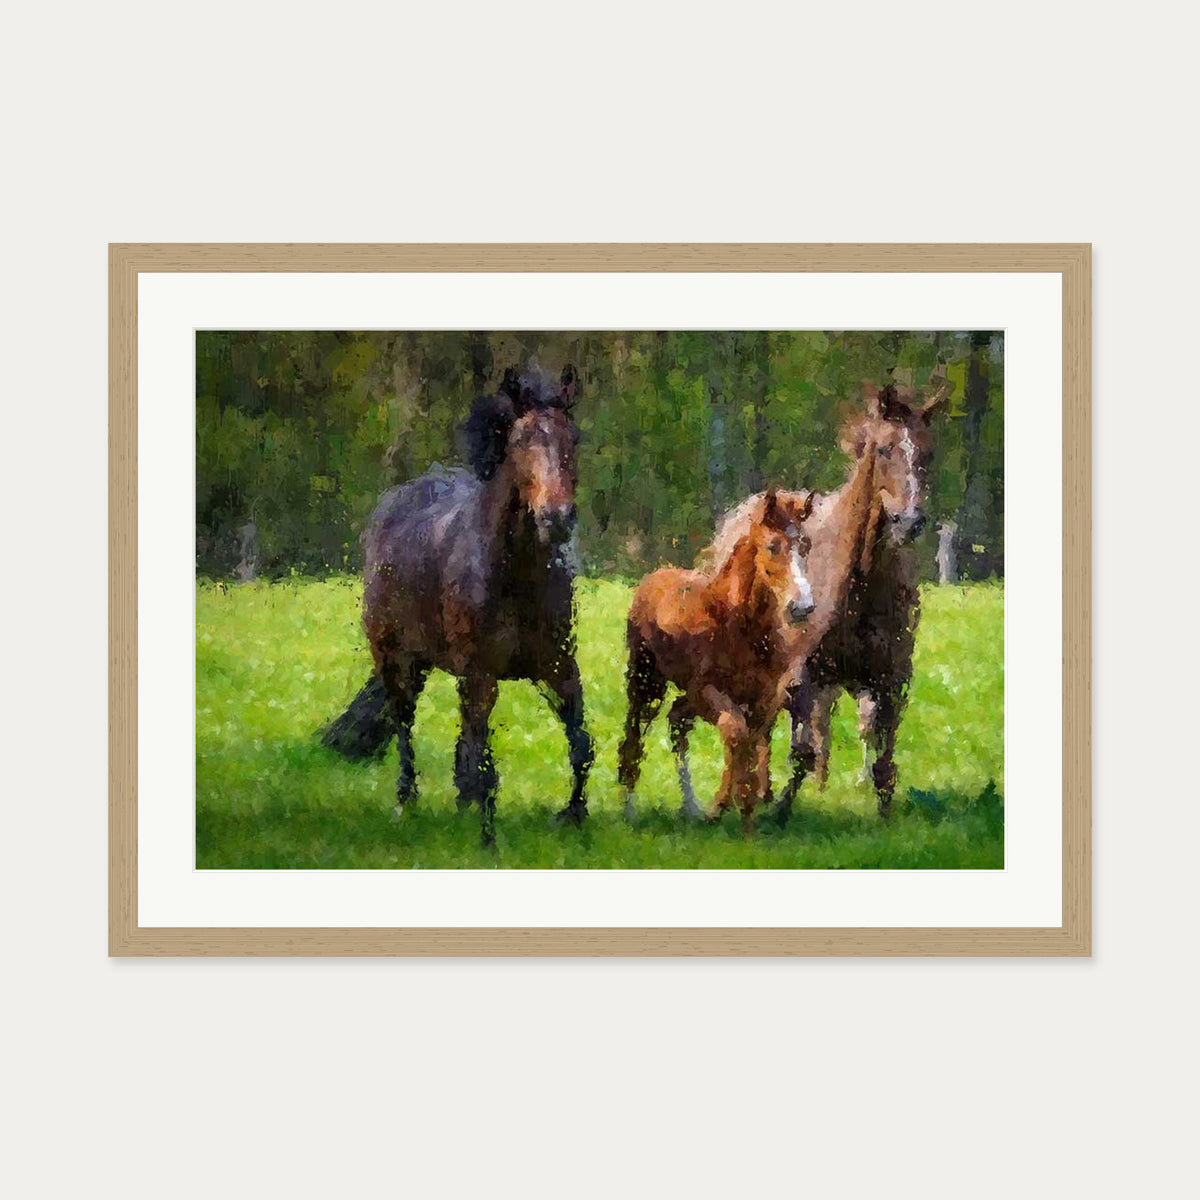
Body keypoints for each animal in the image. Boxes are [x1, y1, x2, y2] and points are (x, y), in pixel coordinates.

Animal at [320, 363, 592, 845]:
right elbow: (483, 760)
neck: (514, 577)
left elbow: (579, 743)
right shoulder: (481, 672)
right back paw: (406, 800)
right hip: (395, 659)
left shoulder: (557, 664)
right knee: (404, 723)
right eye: (520, 441)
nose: (557, 519)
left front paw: (574, 817)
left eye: (573, 438)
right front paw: (487, 839)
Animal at [617, 488, 816, 834]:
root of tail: (655, 576)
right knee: (635, 735)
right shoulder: (705, 691)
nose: (802, 607)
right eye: (772, 546)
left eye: (806, 545)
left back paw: (691, 807)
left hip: (682, 696)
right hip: (646, 683)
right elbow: (735, 733)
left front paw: (745, 813)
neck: (739, 625)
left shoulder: (765, 698)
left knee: (677, 721)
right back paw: (631, 811)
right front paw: (724, 806)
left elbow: (752, 743)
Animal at [702, 370, 952, 823]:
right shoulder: (803, 675)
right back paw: (765, 790)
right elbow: (800, 749)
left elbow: (882, 758)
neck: (861, 586)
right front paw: (780, 810)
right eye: (885, 448)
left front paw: (883, 817)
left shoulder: (891, 679)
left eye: (928, 451)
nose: (909, 521)